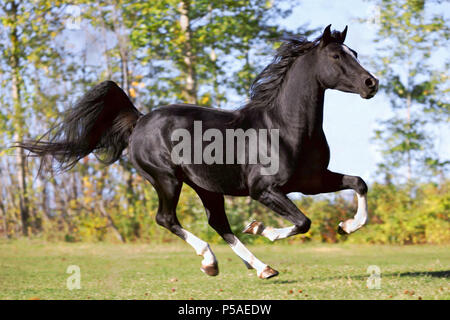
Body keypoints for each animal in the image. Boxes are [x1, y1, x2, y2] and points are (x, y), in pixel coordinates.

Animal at [17, 25, 376, 280]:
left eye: (354, 52)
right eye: (336, 57)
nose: (371, 84)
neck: (285, 127)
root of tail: (140, 120)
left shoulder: (311, 181)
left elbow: (358, 182)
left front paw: (347, 226)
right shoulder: (264, 190)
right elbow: (303, 221)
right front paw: (262, 229)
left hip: (205, 186)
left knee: (218, 223)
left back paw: (261, 268)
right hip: (166, 180)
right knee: (167, 218)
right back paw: (211, 261)